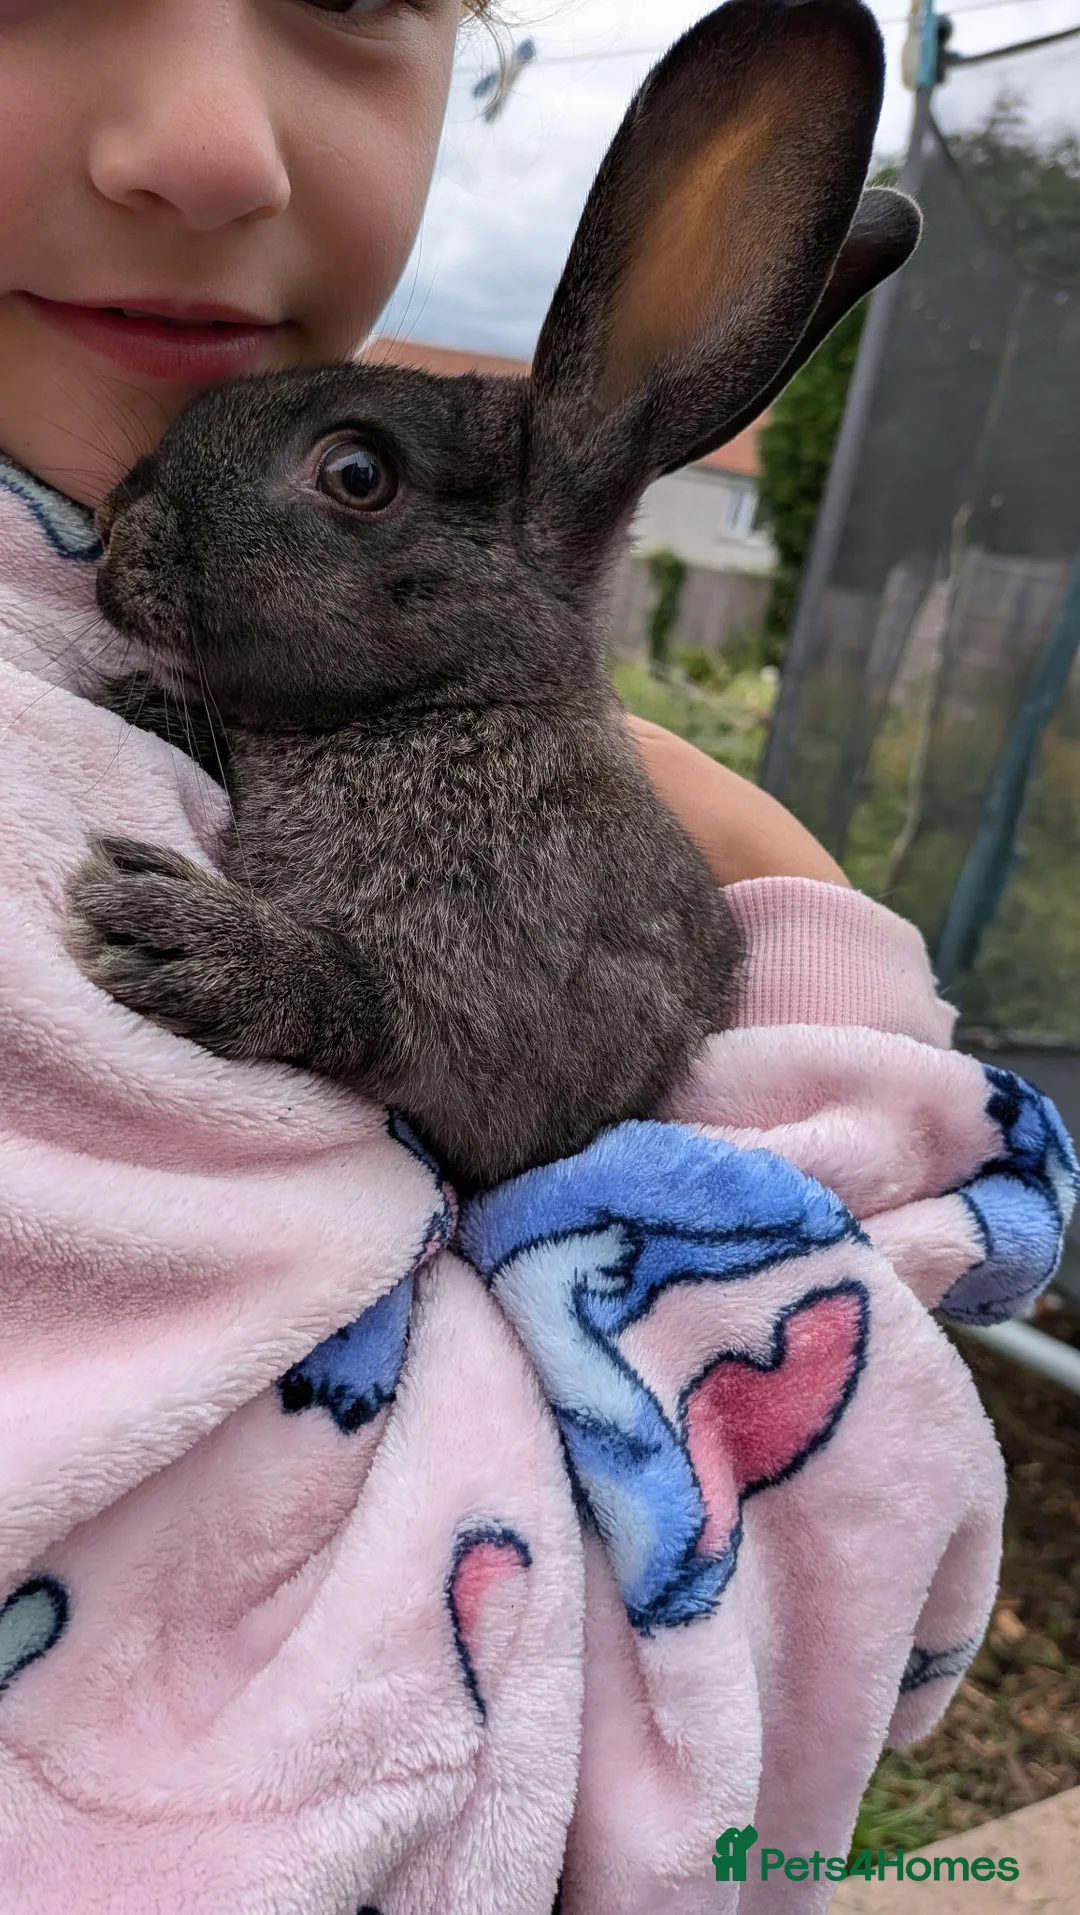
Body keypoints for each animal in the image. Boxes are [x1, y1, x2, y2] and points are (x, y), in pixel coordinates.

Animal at [64, 0, 920, 1192]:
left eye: (357, 474)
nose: (113, 526)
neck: (450, 705)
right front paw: (133, 704)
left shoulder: (513, 1022)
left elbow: (379, 1007)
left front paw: (175, 931)